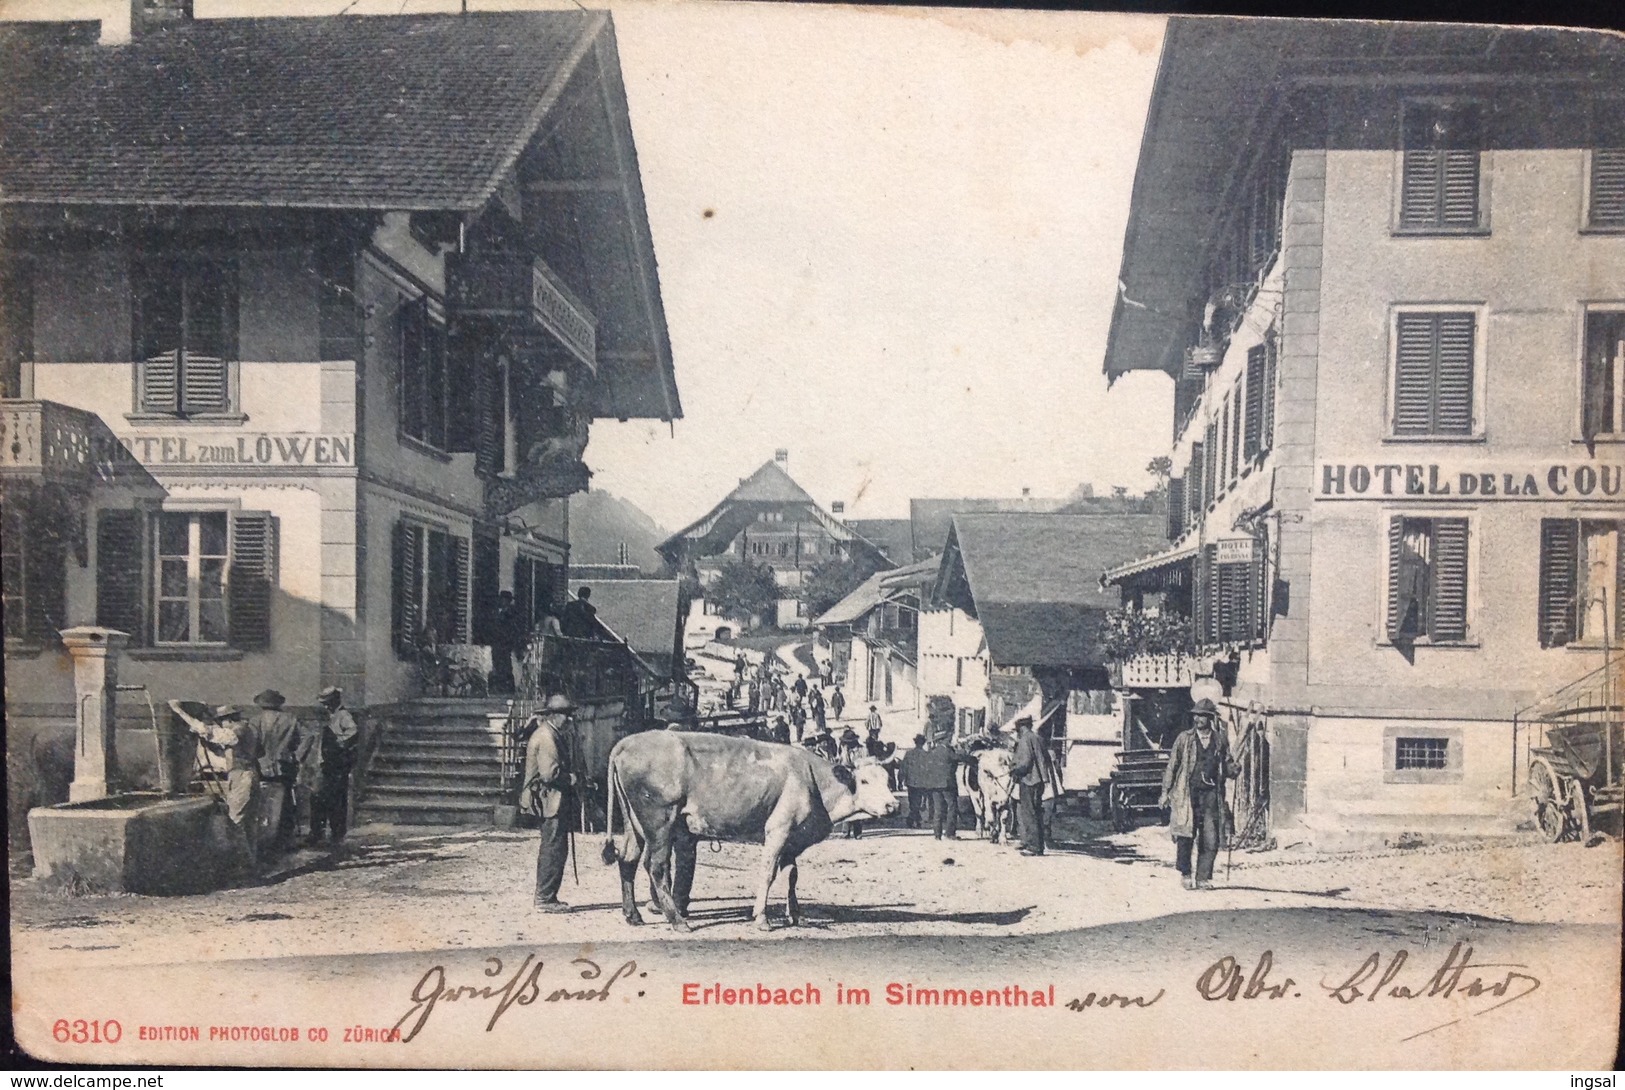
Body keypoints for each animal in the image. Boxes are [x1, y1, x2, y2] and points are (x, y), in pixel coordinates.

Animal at [604, 734, 903, 929]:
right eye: (864, 781)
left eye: (887, 779)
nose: (893, 805)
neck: (812, 780)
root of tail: (625, 743)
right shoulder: (778, 830)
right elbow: (769, 873)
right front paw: (761, 917)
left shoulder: (794, 839)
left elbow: (791, 875)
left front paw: (796, 915)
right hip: (659, 820)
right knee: (656, 866)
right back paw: (677, 920)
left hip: (634, 822)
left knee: (628, 860)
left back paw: (633, 915)